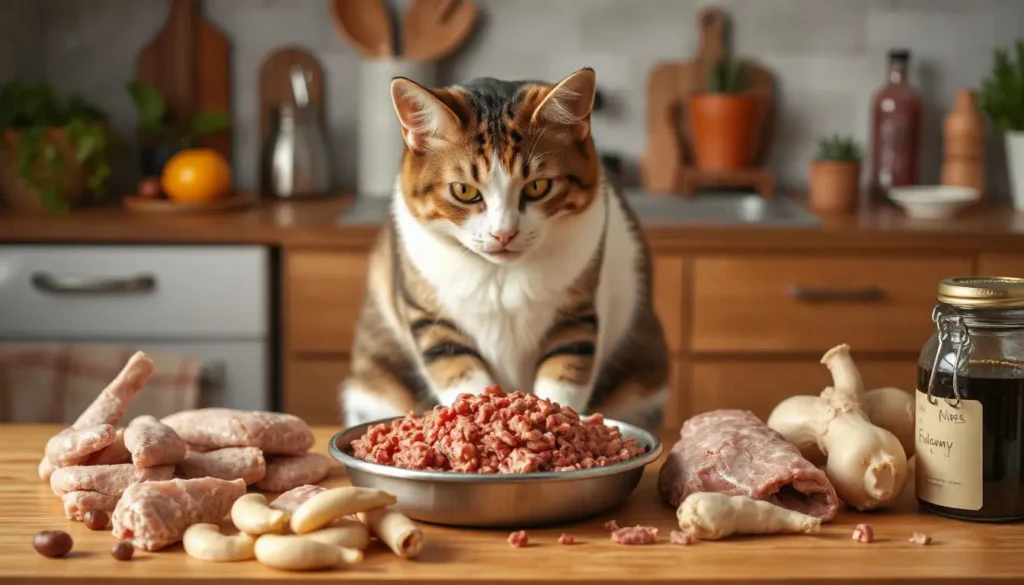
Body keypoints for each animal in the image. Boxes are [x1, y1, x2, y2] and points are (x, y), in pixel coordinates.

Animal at [339, 68, 667, 430]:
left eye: (538, 186)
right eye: (464, 191)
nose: (503, 234)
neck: (502, 277)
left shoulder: (576, 315)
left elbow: (564, 373)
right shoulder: (432, 322)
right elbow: (461, 373)